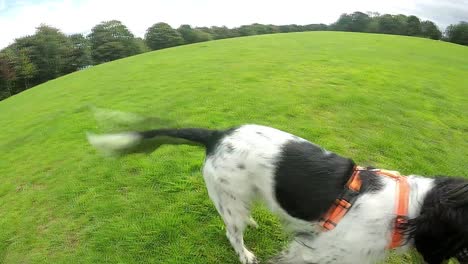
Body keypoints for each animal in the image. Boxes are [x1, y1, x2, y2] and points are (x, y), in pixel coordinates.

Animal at [88, 125, 468, 262]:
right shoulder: (317, 251)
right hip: (230, 201)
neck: (410, 208)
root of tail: (216, 134)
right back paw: (245, 254)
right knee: (231, 233)